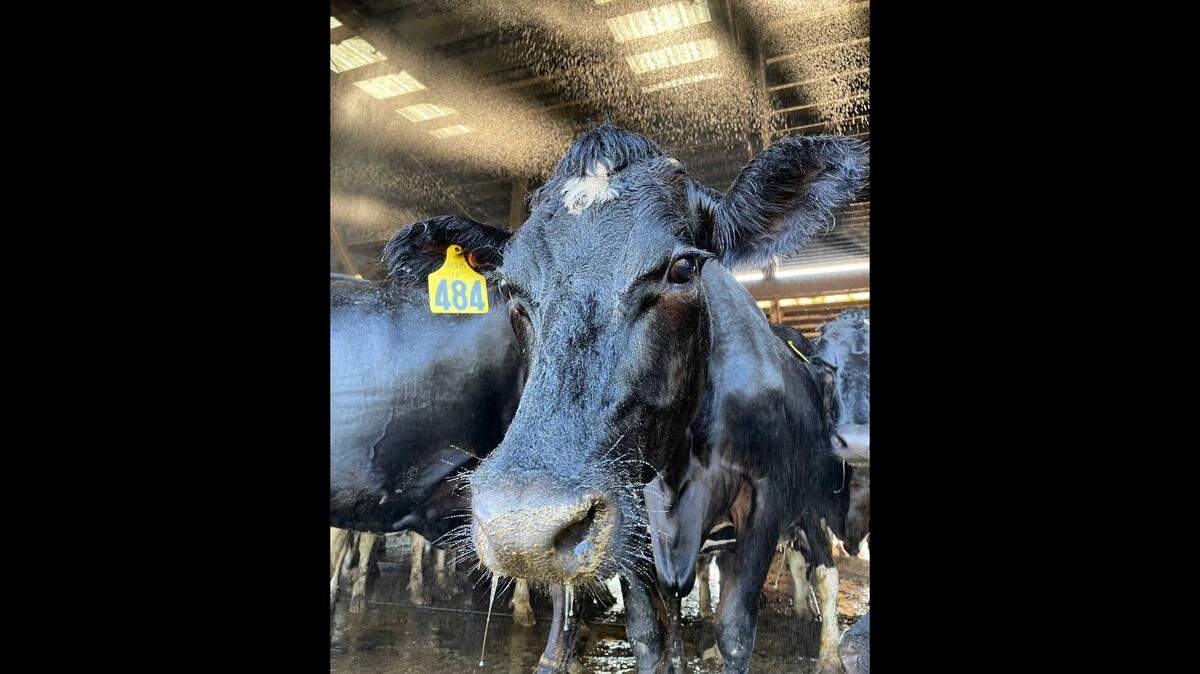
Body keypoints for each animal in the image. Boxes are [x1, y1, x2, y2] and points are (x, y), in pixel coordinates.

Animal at [384, 123, 866, 673]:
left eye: (683, 268)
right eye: (508, 287)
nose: (522, 526)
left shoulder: (765, 496)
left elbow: (735, 629)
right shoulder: (630, 511)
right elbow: (646, 630)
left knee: (820, 568)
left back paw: (827, 650)